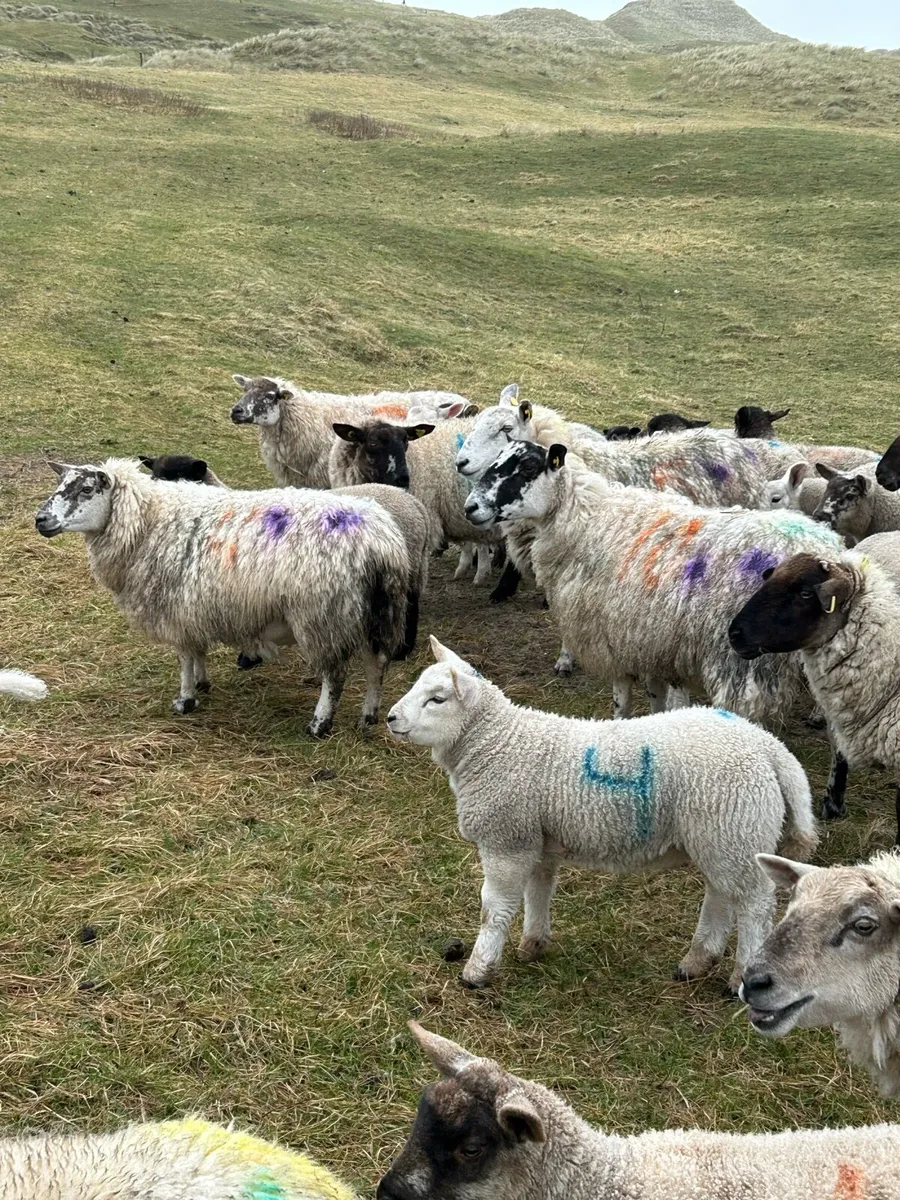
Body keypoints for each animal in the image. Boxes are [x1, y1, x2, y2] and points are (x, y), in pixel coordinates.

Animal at [34, 459, 409, 736]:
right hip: (373, 612)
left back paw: (319, 724)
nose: (41, 520)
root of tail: (382, 542)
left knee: (335, 676)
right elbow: (197, 650)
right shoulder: (192, 607)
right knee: (376, 665)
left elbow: (185, 657)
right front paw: (202, 684)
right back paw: (368, 716)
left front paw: (185, 700)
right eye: (59, 485)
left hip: (324, 615)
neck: (148, 521)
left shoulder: (176, 607)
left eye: (86, 489)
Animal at [139, 452, 433, 667]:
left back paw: (402, 651)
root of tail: (416, 506)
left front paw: (248, 658)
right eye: (154, 475)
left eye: (182, 477)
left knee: (410, 605)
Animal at [387, 637, 816, 992]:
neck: (499, 744)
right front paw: (533, 944)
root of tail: (769, 747)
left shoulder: (506, 839)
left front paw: (477, 971)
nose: (391, 718)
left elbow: (494, 908)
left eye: (437, 699)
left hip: (735, 828)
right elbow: (538, 891)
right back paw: (696, 960)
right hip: (723, 836)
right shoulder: (535, 839)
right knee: (722, 893)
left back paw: (740, 979)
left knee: (756, 906)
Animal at [464, 440, 842, 724]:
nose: (471, 507)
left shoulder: (613, 638)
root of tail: (825, 545)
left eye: (528, 467)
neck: (584, 518)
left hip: (746, 664)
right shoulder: (651, 641)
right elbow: (655, 696)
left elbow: (622, 699)